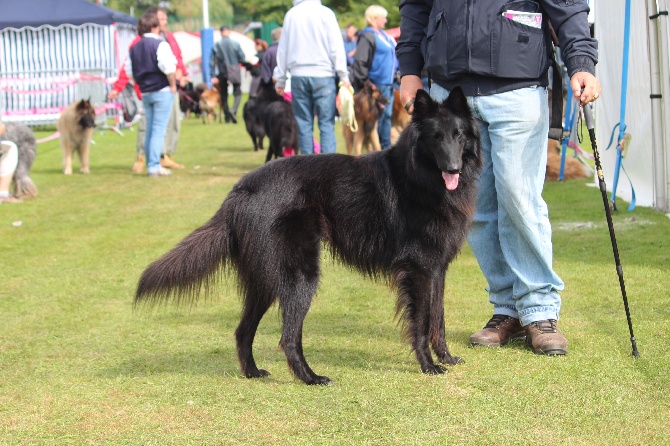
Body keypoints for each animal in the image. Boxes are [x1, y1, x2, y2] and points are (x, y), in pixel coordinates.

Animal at [135, 89, 484, 386]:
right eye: (436, 138)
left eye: (458, 135)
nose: (453, 168)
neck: (421, 177)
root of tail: (241, 190)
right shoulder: (419, 270)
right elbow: (422, 322)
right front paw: (428, 365)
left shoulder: (437, 270)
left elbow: (438, 318)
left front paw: (446, 357)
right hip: (301, 275)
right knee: (288, 337)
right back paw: (310, 377)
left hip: (265, 281)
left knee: (242, 330)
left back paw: (253, 373)